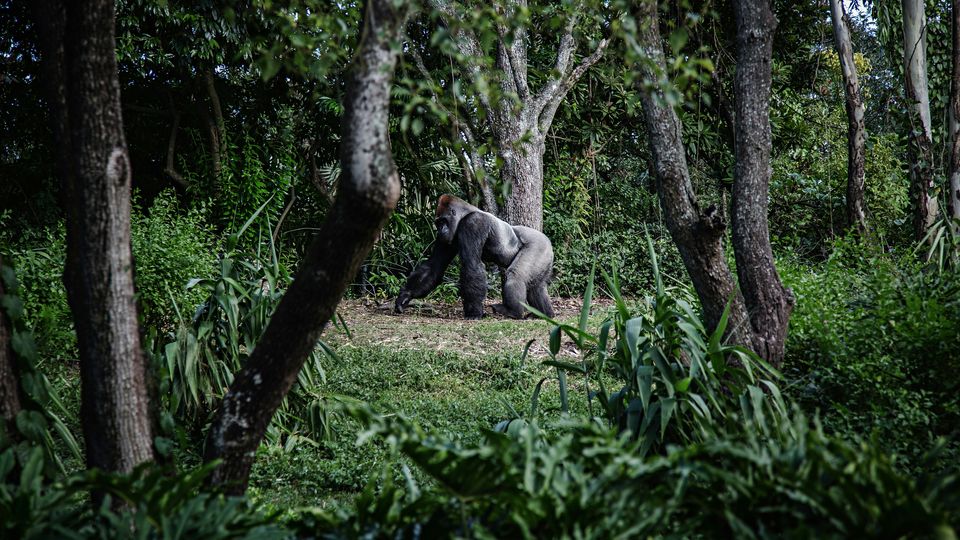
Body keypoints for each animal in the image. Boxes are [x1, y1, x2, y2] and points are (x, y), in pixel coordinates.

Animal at [394, 194, 555, 319]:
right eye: (438, 223)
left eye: (443, 221)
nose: (440, 230)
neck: (465, 213)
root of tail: (548, 241)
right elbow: (434, 266)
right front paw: (405, 296)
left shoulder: (473, 223)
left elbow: (471, 264)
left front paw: (474, 312)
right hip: (545, 255)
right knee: (537, 286)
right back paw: (544, 314)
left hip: (538, 245)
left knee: (516, 275)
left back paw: (513, 311)